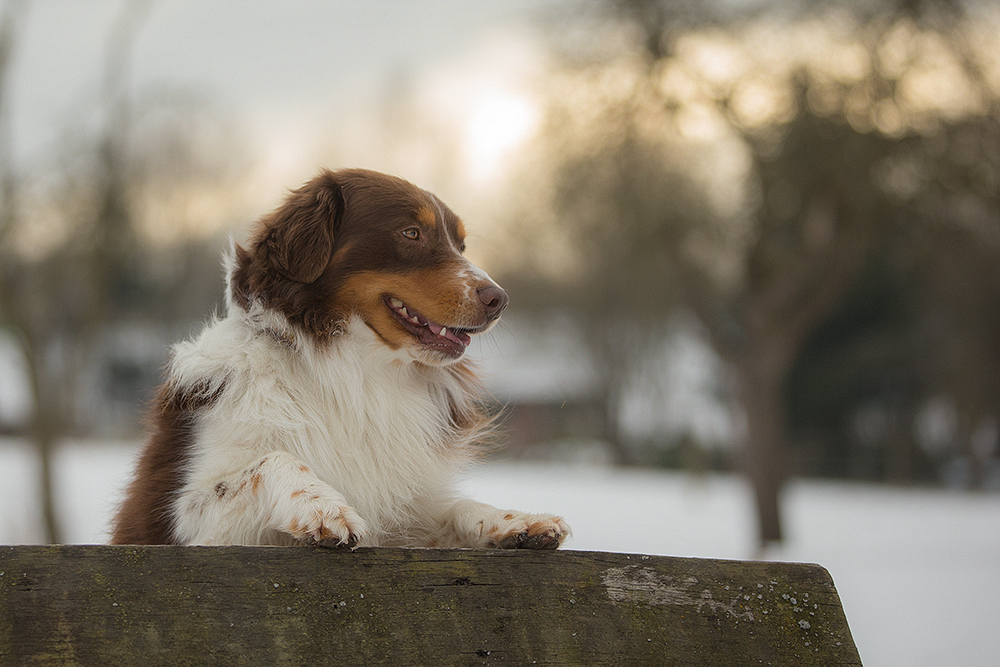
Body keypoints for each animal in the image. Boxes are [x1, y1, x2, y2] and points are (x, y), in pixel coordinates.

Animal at [110, 170, 572, 552]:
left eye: (460, 244)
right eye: (411, 232)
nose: (500, 300)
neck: (352, 369)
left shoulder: (400, 514)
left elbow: (453, 509)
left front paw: (514, 521)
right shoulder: (182, 521)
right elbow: (271, 460)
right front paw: (323, 506)